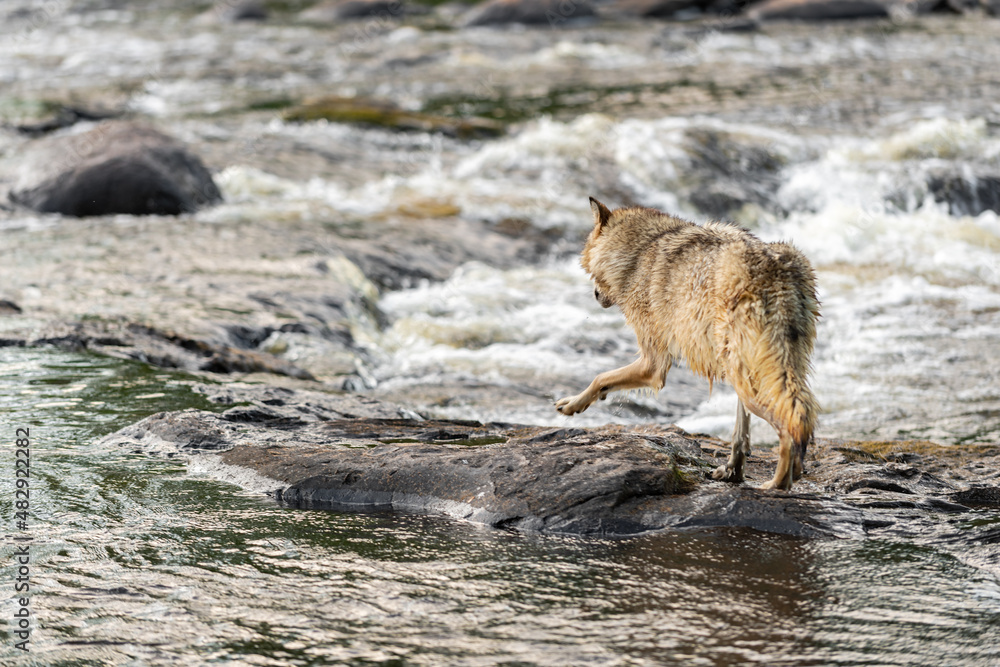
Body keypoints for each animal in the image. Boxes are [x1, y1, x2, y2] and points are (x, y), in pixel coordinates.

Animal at [555, 198, 820, 490]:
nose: (594, 295)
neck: (638, 253)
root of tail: (777, 273)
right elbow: (741, 436)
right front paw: (734, 472)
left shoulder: (653, 365)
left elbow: (600, 377)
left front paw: (572, 404)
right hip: (751, 369)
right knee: (796, 414)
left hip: (751, 377)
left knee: (791, 423)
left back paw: (777, 484)